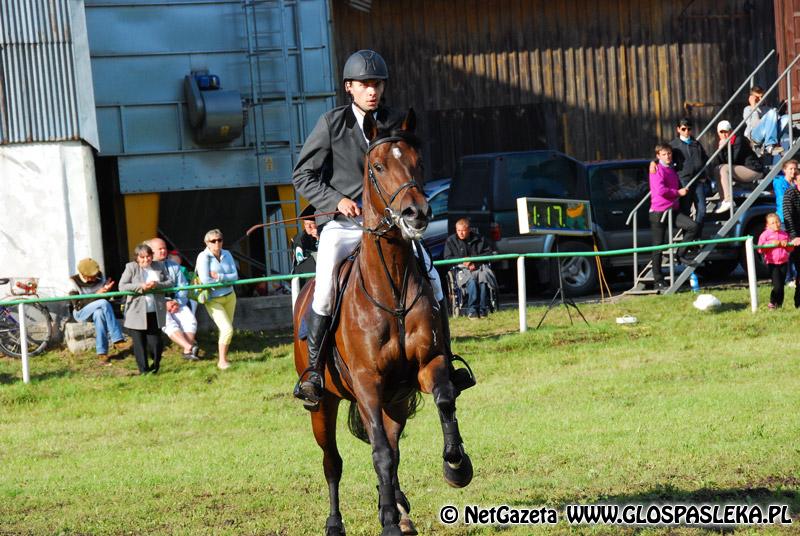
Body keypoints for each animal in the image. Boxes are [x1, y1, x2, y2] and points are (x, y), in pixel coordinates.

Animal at [293, 109, 473, 536]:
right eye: (376, 167)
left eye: (417, 162)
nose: (416, 214)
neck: (390, 291)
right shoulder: (367, 383)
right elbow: (378, 453)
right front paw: (388, 522)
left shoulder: (428, 365)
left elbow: (444, 403)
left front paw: (456, 465)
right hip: (323, 404)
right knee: (333, 462)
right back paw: (337, 523)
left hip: (396, 401)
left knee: (393, 445)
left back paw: (400, 507)